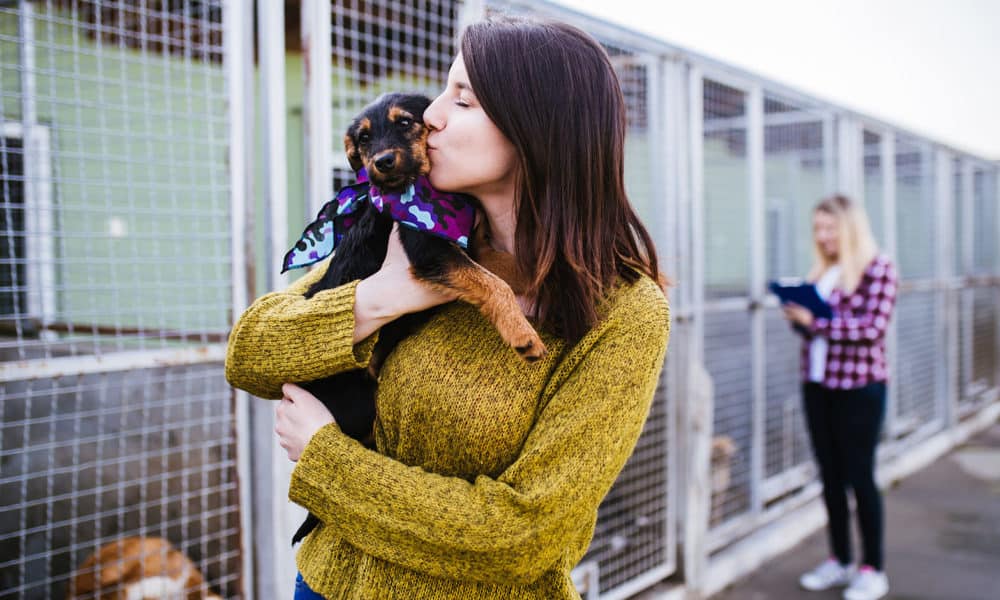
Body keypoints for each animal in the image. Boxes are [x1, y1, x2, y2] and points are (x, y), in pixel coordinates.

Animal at [282, 92, 548, 544]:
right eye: (363, 139)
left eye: (405, 122)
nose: (382, 162)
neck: (422, 192)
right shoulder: (430, 250)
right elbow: (493, 282)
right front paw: (523, 334)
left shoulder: (467, 242)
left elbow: (502, 264)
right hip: (357, 403)